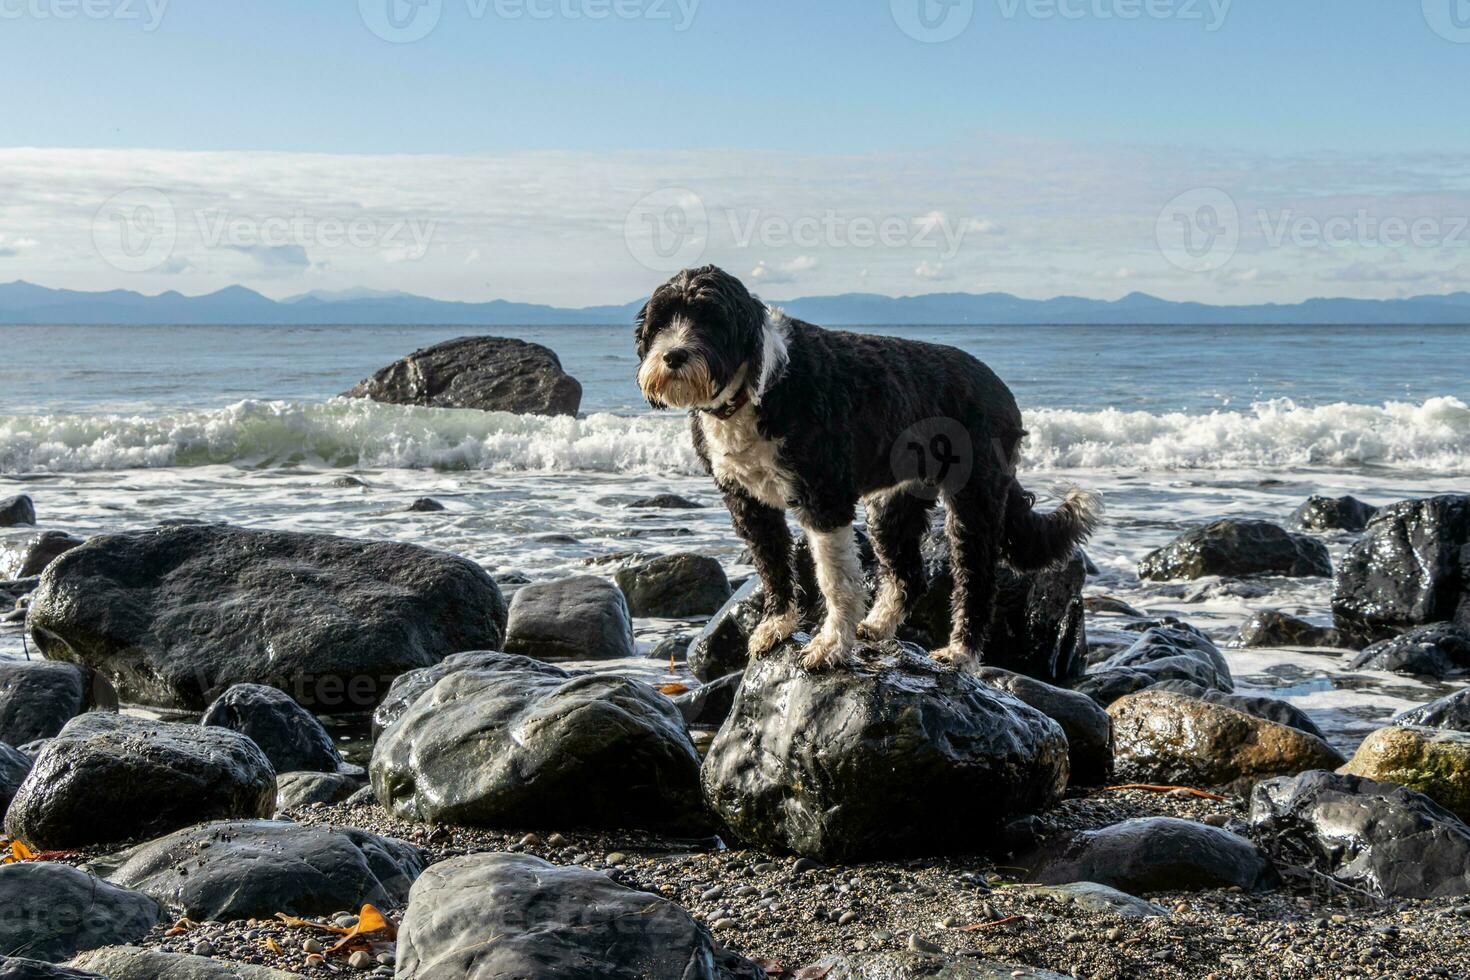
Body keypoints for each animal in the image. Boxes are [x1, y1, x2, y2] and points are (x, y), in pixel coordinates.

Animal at [635, 264, 1105, 669]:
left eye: (711, 319)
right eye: (662, 320)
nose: (673, 355)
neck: (754, 391)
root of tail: (1000, 389)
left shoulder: (823, 498)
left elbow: (835, 580)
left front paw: (829, 645)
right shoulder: (748, 503)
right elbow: (772, 566)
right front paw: (778, 624)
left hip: (974, 500)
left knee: (978, 580)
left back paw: (961, 653)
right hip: (893, 504)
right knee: (910, 576)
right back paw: (878, 626)